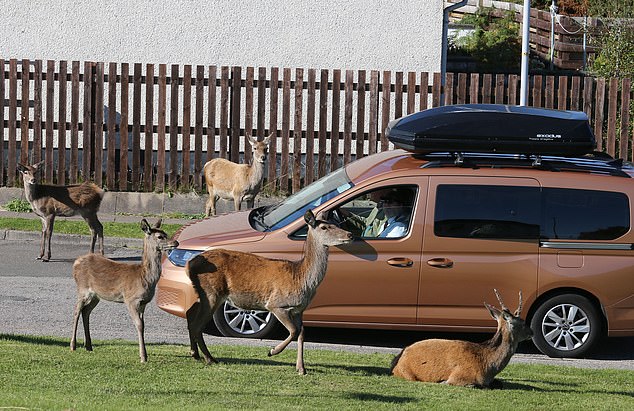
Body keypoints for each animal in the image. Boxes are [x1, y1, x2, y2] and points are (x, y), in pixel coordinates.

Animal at [69, 219, 178, 364]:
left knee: (85, 312)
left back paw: (89, 346)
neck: (144, 277)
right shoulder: (131, 299)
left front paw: (144, 355)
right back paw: (73, 345)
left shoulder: (143, 303)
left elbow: (143, 325)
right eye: (160, 236)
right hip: (82, 288)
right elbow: (139, 325)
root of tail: (76, 262)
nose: (175, 242)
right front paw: (143, 357)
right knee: (76, 311)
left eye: (166, 233)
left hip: (96, 296)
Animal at [184, 211, 350, 374]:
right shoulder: (276, 304)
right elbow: (293, 331)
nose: (349, 234)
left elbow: (302, 333)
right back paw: (209, 358)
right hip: (212, 292)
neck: (301, 278)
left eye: (334, 223)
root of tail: (189, 264)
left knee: (190, 313)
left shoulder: (299, 309)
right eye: (324, 227)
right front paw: (272, 351)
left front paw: (301, 368)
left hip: (203, 293)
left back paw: (195, 353)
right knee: (198, 324)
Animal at [388, 290, 532, 390]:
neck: (487, 367)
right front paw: (441, 381)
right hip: (406, 373)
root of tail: (397, 360)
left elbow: (499, 383)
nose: (532, 331)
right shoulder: (459, 377)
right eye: (522, 322)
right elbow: (474, 385)